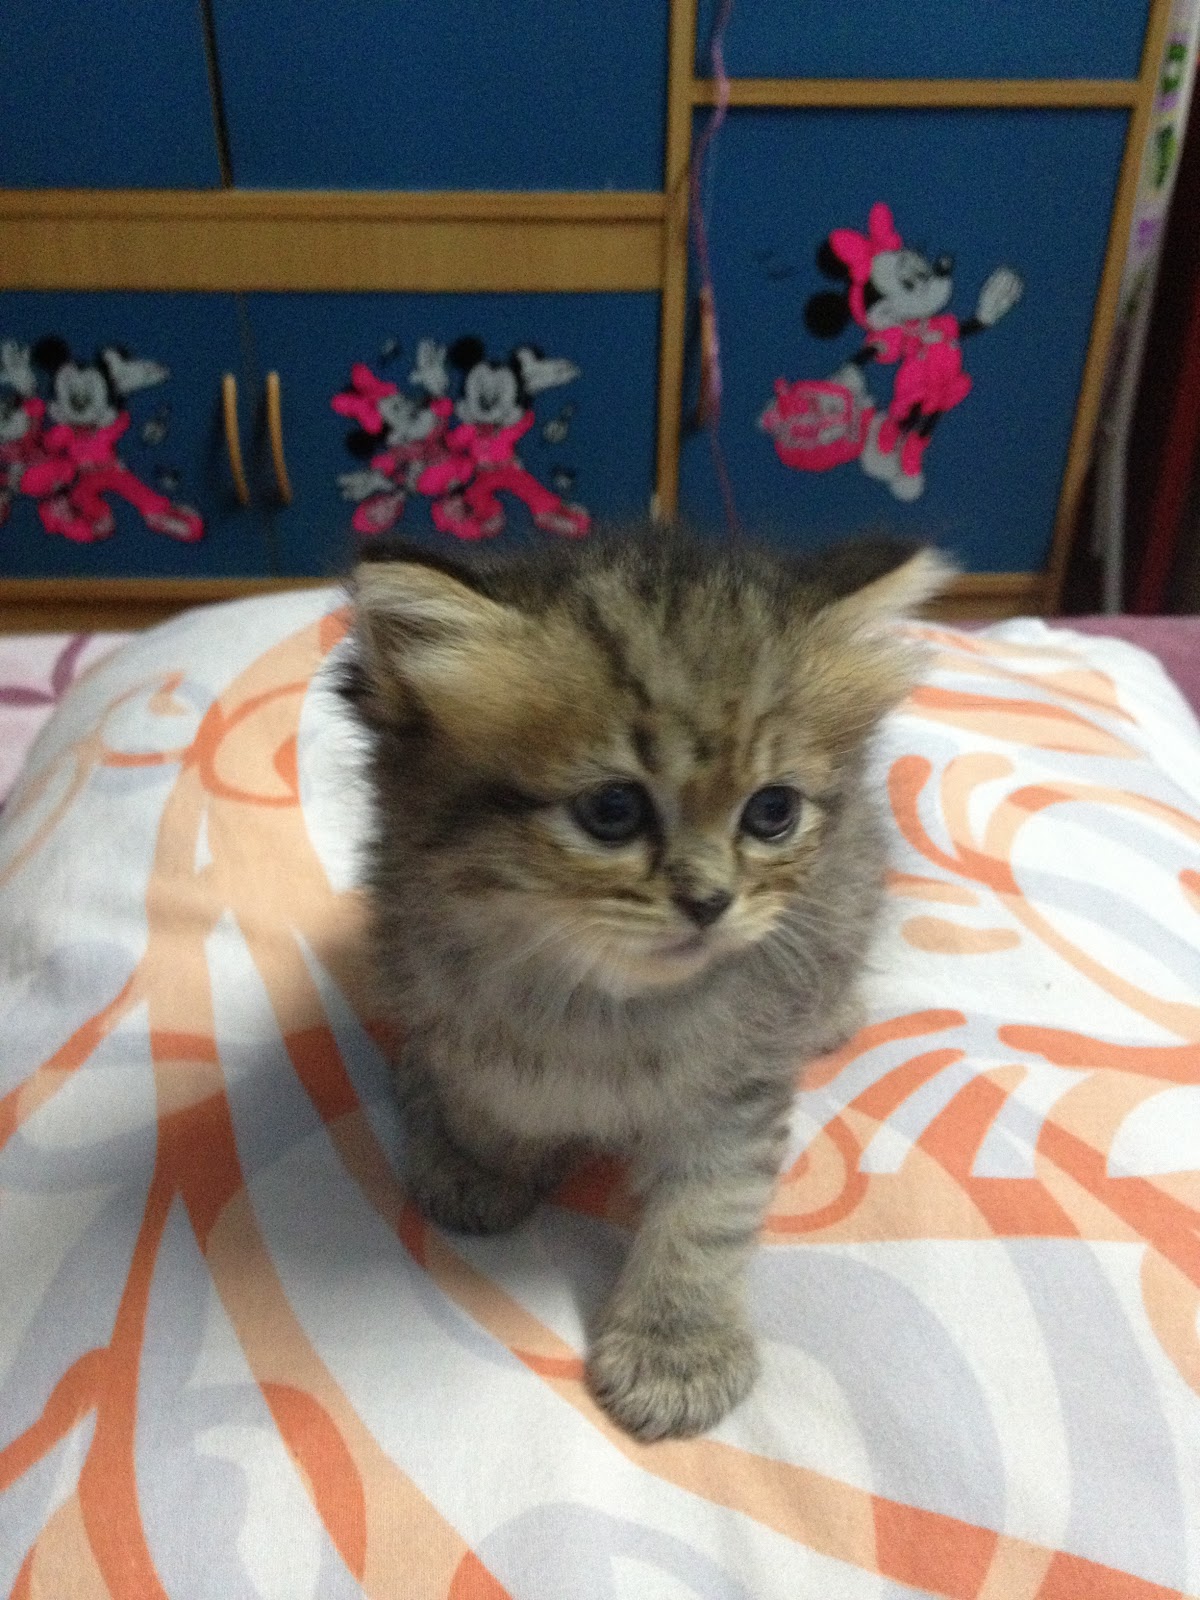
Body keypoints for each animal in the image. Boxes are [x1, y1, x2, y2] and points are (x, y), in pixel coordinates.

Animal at [342, 526, 952, 1440]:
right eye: (612, 811)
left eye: (772, 811)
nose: (710, 902)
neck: (599, 1002)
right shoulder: (446, 987)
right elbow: (490, 1091)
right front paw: (483, 1158)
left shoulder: (735, 1094)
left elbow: (706, 1216)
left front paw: (676, 1349)